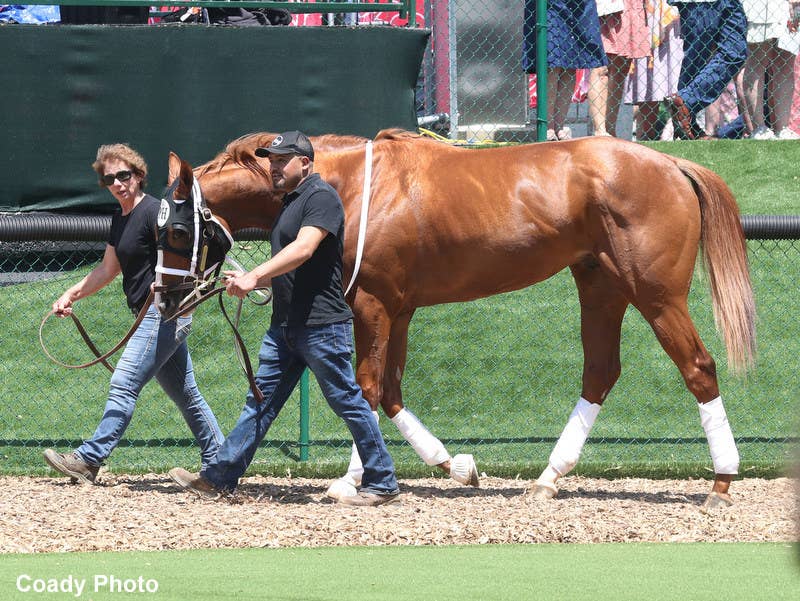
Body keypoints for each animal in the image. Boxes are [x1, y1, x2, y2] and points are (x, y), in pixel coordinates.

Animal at [156, 129, 756, 510]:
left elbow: (364, 390)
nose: (163, 294)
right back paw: (546, 479)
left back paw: (722, 482)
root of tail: (671, 163)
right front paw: (455, 465)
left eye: (178, 230)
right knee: (600, 373)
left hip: (656, 295)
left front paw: (354, 481)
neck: (353, 186)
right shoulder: (399, 309)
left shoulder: (373, 303)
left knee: (698, 367)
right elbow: (390, 392)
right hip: (600, 286)